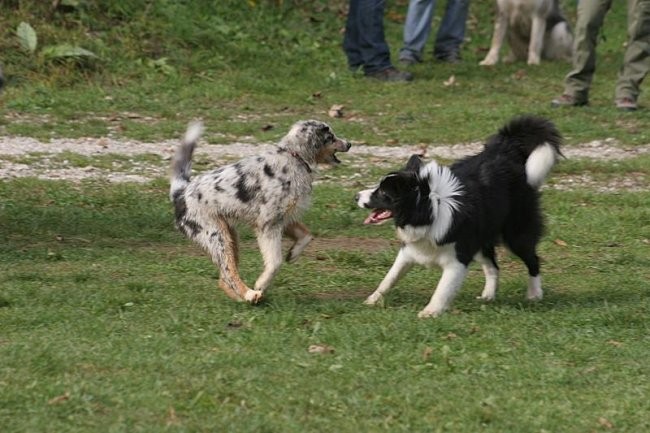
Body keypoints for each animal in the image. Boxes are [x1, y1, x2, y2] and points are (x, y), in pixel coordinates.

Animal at [167, 120, 350, 304]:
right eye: (330, 136)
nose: (349, 144)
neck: (295, 157)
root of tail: (181, 191)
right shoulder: (268, 223)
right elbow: (275, 262)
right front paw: (262, 284)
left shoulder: (283, 218)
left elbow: (306, 235)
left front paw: (293, 254)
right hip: (217, 238)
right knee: (229, 272)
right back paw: (250, 294)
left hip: (230, 237)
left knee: (224, 278)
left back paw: (244, 298)